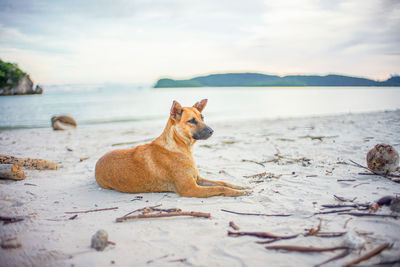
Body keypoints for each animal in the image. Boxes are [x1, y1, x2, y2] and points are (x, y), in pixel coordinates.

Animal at [94, 99, 250, 198]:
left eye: (202, 117)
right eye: (192, 121)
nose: (212, 131)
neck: (179, 145)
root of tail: (97, 162)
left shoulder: (197, 179)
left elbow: (223, 182)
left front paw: (241, 187)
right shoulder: (190, 189)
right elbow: (219, 187)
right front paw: (239, 193)